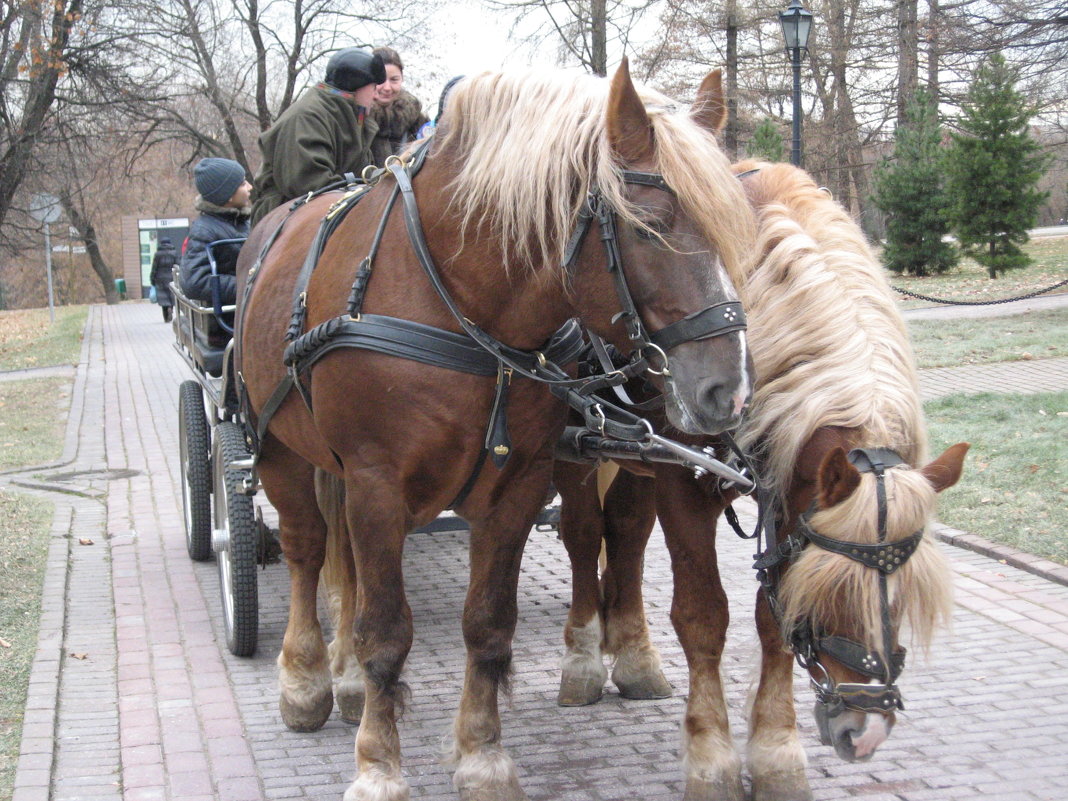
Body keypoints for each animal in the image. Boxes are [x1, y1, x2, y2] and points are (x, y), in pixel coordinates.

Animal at [240, 64, 760, 801]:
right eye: (650, 228)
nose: (729, 390)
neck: (459, 304)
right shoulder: (376, 486)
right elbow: (386, 632)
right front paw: (378, 764)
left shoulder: (517, 484)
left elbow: (488, 624)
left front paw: (482, 756)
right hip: (280, 447)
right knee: (309, 552)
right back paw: (309, 678)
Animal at [555, 158, 974, 801]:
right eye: (833, 595)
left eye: (902, 596)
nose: (865, 732)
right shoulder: (685, 484)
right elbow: (702, 616)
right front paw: (711, 759)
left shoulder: (787, 490)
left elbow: (771, 618)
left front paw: (777, 754)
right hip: (574, 450)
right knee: (581, 538)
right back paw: (581, 661)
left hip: (636, 461)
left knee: (624, 534)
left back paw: (634, 658)